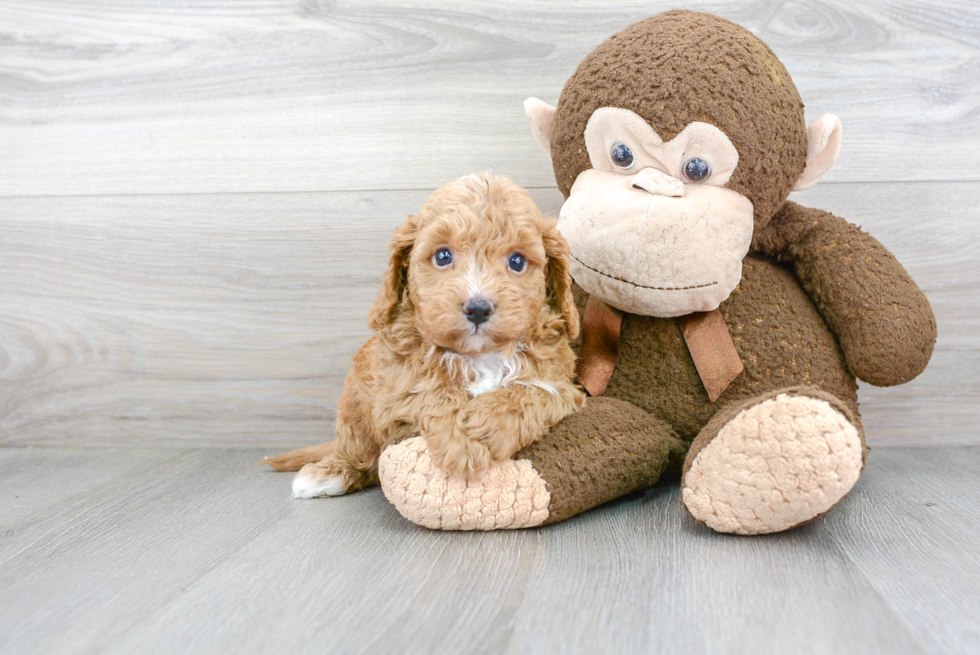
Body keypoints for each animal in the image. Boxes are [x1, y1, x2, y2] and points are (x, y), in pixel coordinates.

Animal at [260, 173, 580, 498]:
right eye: (443, 256)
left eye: (517, 262)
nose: (478, 309)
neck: (479, 356)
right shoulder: (394, 394)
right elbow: (434, 393)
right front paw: (461, 443)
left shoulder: (563, 387)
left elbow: (531, 390)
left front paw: (485, 424)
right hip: (354, 403)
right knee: (357, 450)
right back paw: (330, 473)